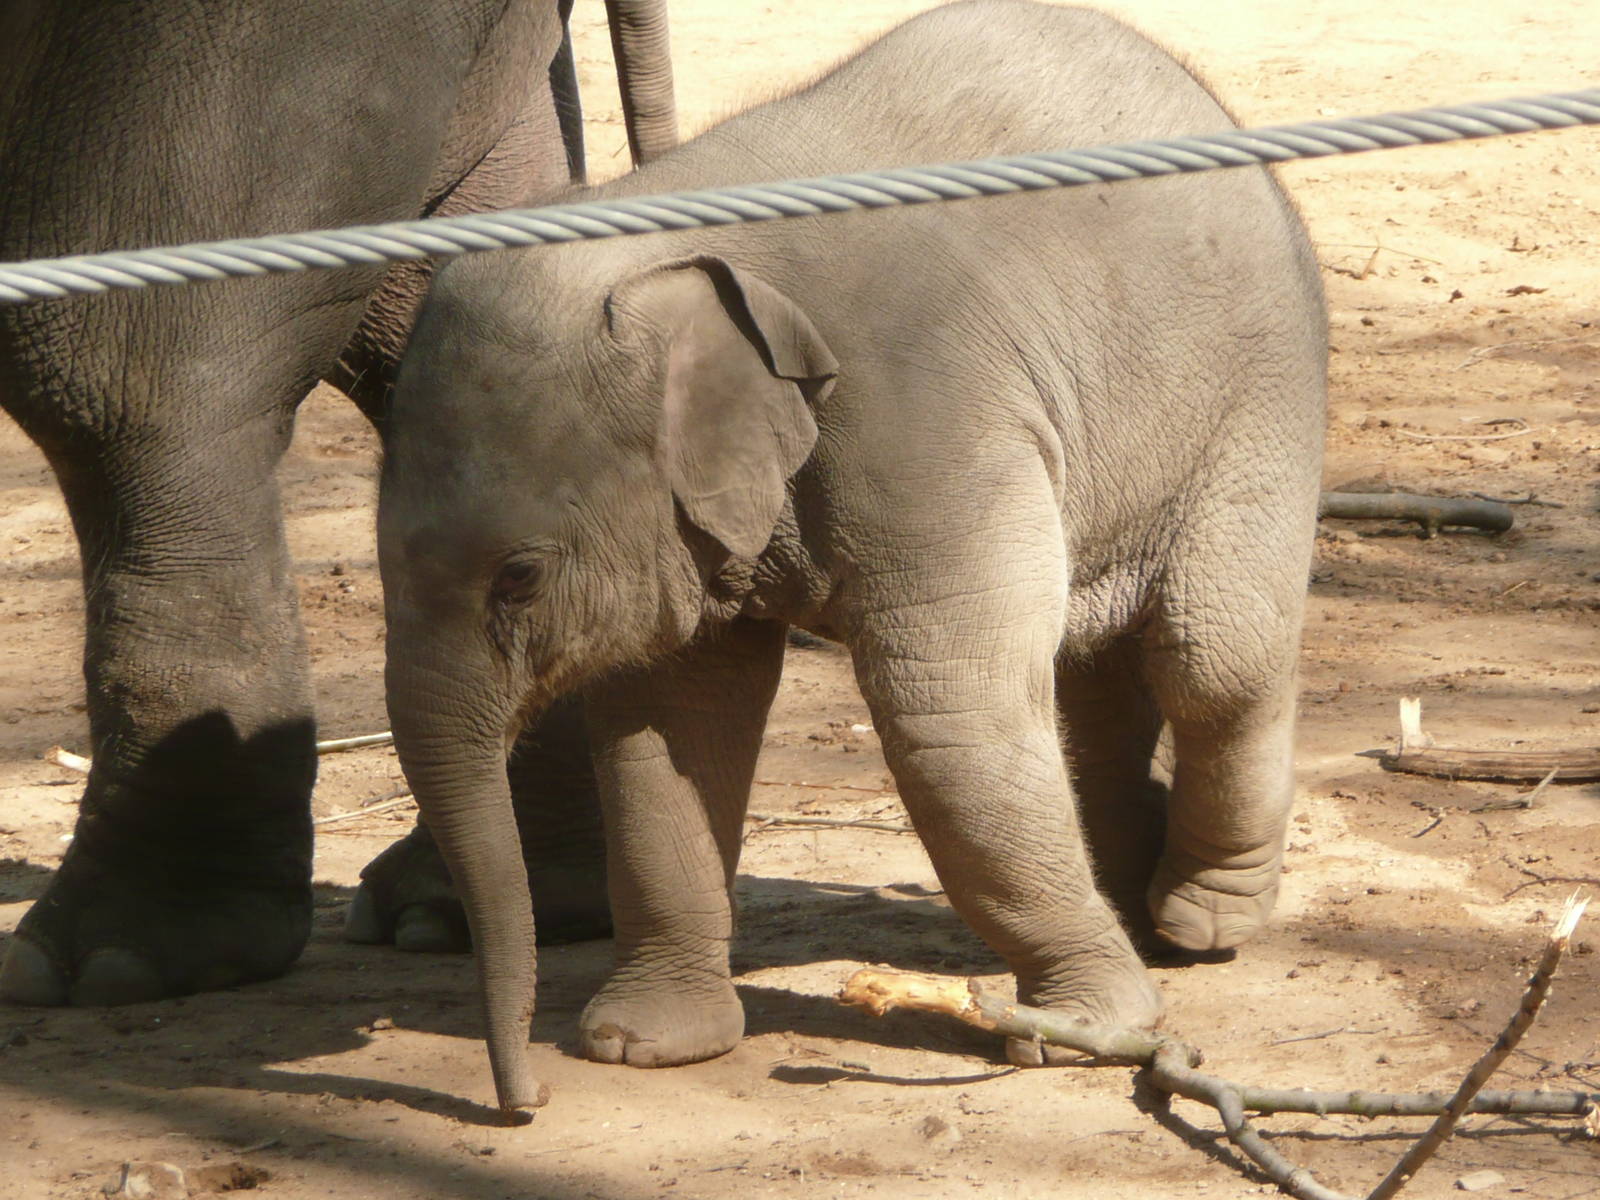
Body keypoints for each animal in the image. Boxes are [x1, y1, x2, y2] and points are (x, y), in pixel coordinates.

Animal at [379, 0, 1327, 1114]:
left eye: (519, 577)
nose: (520, 1102)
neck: (672, 238)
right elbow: (665, 727)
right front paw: (641, 1046)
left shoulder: (930, 421)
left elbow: (948, 708)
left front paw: (1084, 1031)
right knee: (1100, 666)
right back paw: (1133, 905)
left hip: (1259, 396)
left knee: (1211, 658)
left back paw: (1198, 921)